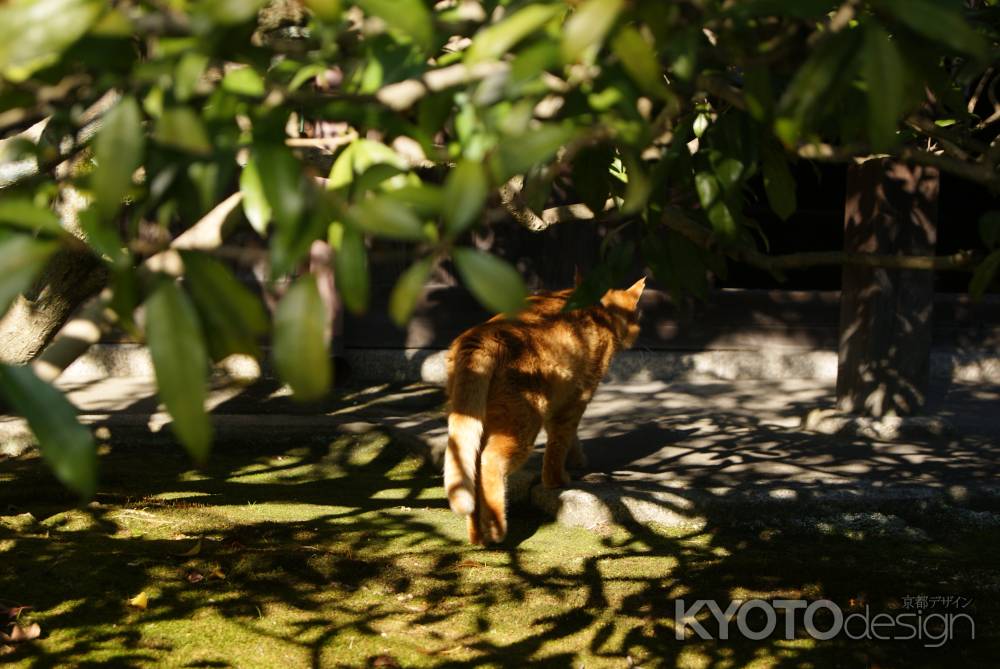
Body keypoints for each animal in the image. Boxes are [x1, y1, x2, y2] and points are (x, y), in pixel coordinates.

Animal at [442, 276, 644, 544]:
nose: (638, 331)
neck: (597, 310)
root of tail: (483, 335)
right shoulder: (577, 399)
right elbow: (559, 443)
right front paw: (557, 480)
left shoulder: (562, 400)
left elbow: (570, 439)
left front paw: (576, 461)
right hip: (523, 423)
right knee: (490, 462)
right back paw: (496, 529)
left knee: (472, 469)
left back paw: (478, 536)